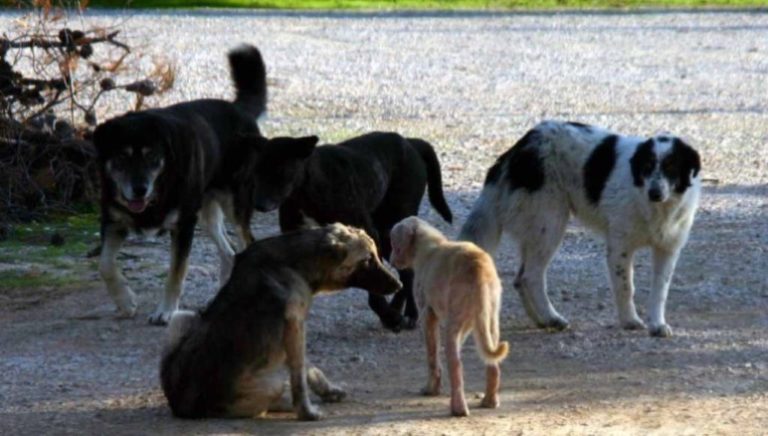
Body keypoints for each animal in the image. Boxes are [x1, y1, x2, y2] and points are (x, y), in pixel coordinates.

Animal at [94, 45, 292, 324]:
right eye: (122, 157)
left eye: (152, 157)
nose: (139, 189)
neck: (159, 189)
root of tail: (239, 110)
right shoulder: (113, 221)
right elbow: (105, 265)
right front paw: (125, 301)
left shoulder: (184, 224)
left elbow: (176, 273)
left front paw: (165, 311)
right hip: (207, 212)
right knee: (230, 253)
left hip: (234, 204)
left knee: (246, 243)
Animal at [160, 223, 402, 420]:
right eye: (367, 260)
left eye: (376, 256)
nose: (399, 285)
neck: (295, 262)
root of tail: (183, 406)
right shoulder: (295, 325)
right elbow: (299, 376)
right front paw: (307, 412)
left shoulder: (295, 330)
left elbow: (308, 368)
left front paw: (327, 391)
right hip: (270, 385)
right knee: (271, 400)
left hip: (182, 317)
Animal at [237, 131, 452, 332]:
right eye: (256, 171)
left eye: (281, 170)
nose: (258, 204)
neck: (308, 187)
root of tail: (411, 142)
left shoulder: (369, 234)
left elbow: (374, 286)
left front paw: (389, 315)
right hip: (387, 234)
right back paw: (397, 310)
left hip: (392, 225)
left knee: (408, 273)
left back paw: (409, 314)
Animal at [390, 216, 510, 418]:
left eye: (394, 244)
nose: (391, 261)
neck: (428, 243)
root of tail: (479, 269)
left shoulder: (427, 315)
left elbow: (432, 357)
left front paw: (431, 390)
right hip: (490, 322)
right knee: (492, 365)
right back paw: (489, 401)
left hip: (453, 326)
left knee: (456, 366)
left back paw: (458, 409)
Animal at [462, 121, 704, 338]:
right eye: (647, 166)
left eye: (671, 167)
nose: (654, 193)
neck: (657, 208)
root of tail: (519, 148)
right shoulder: (620, 247)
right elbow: (626, 287)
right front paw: (630, 321)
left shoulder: (668, 249)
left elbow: (660, 291)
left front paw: (657, 325)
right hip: (550, 223)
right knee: (531, 276)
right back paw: (552, 317)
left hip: (535, 229)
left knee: (520, 278)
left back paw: (541, 320)